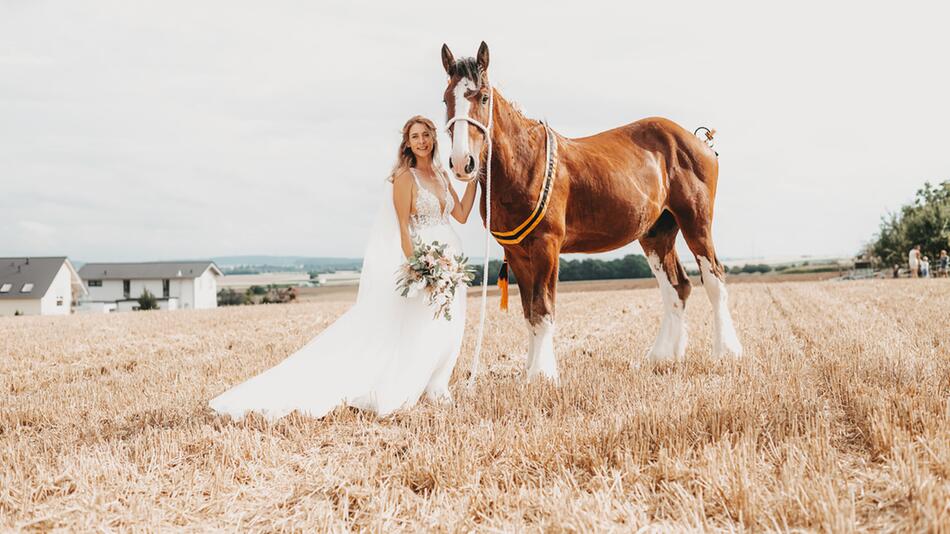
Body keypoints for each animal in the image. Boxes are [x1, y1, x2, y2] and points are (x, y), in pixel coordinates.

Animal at [442, 44, 748, 384]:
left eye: (483, 97)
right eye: (446, 99)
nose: (462, 162)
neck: (524, 163)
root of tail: (700, 141)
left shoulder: (547, 245)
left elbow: (543, 308)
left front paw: (543, 375)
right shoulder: (517, 253)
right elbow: (529, 313)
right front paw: (531, 372)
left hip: (696, 220)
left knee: (714, 278)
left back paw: (727, 352)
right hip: (657, 232)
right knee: (677, 287)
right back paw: (661, 357)